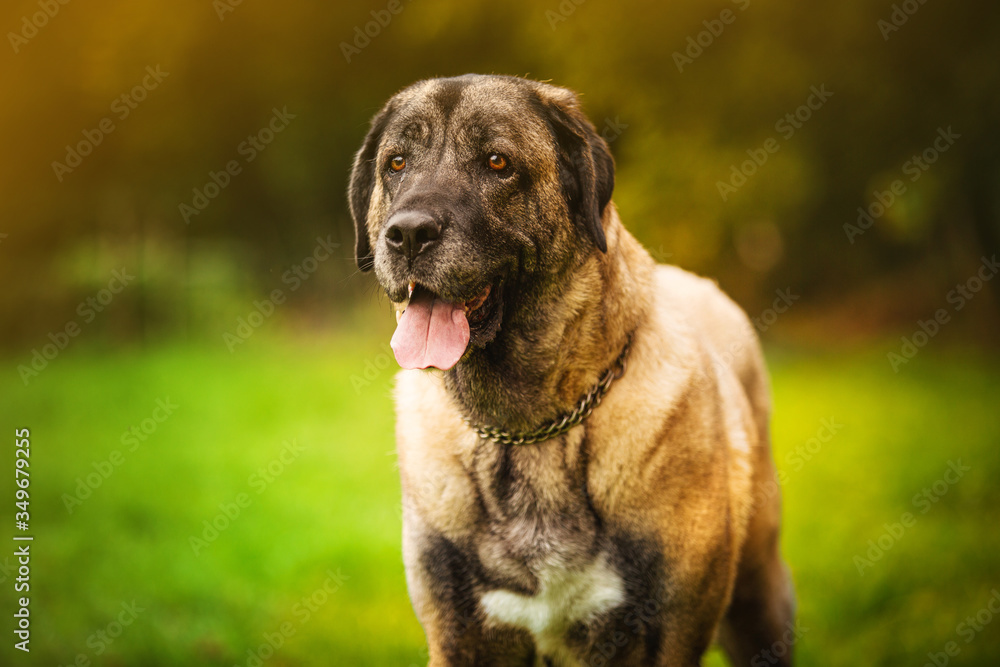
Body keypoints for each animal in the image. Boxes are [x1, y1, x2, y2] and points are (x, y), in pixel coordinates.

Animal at [348, 74, 792, 667]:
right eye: (395, 163)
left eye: (497, 162)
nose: (409, 234)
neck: (528, 432)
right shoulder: (459, 636)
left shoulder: (668, 633)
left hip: (760, 594)